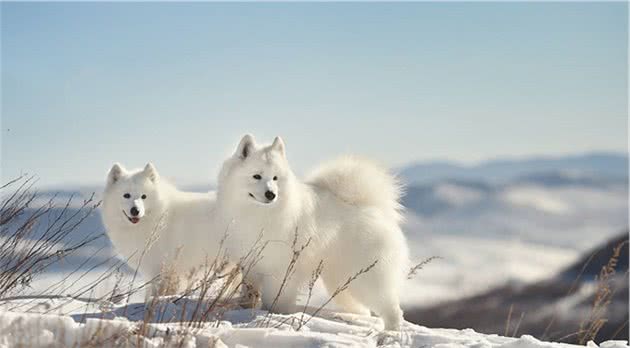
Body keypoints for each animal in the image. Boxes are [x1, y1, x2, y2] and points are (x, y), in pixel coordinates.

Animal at [215, 135, 410, 330]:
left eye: (275, 178)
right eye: (257, 176)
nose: (271, 194)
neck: (259, 213)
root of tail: (374, 208)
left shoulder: (280, 269)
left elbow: (275, 298)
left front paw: (274, 315)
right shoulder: (251, 265)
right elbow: (249, 292)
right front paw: (247, 309)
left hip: (368, 278)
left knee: (391, 308)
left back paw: (391, 331)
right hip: (340, 281)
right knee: (362, 309)